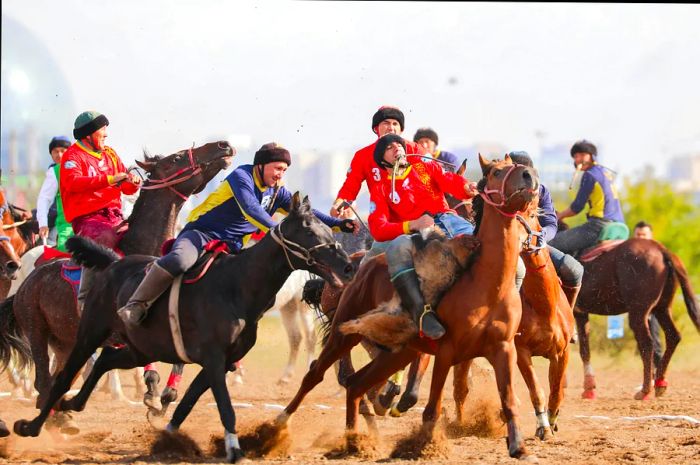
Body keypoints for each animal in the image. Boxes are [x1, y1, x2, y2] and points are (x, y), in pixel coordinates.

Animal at [0, 139, 237, 432]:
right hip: (36, 330)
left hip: (65, 341)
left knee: (58, 377)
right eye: (177, 157)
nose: (223, 145)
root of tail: (26, 284)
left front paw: (163, 399)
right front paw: (151, 394)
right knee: (43, 380)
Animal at [12, 193, 356, 464]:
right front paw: (235, 450)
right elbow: (225, 407)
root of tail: (111, 263)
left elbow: (187, 402)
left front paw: (167, 438)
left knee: (106, 360)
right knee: (60, 378)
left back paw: (73, 403)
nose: (348, 266)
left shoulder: (220, 361)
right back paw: (32, 424)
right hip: (88, 333)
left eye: (327, 227)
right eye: (309, 230)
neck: (236, 287)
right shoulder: (214, 359)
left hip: (140, 348)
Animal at [270, 154, 540, 458]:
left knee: (356, 384)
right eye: (495, 172)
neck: (484, 283)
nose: (529, 176)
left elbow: (509, 400)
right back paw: (276, 427)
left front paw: (518, 446)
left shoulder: (503, 348)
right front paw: (423, 446)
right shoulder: (445, 351)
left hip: (397, 351)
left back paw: (355, 441)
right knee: (317, 374)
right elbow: (431, 407)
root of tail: (361, 268)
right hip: (345, 331)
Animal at [556, 223, 700, 396]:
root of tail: (662, 250)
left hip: (638, 312)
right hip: (662, 308)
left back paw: (645, 390)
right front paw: (588, 388)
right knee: (673, 336)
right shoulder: (581, 313)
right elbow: (584, 349)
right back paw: (659, 383)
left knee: (647, 344)